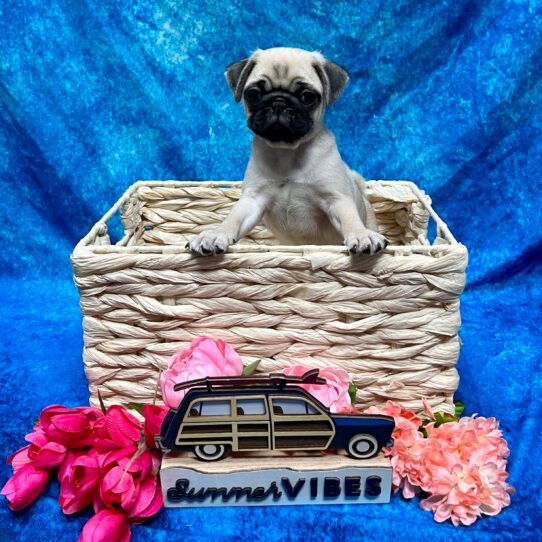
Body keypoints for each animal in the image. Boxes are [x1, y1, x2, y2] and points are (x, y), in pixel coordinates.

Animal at [189, 47, 388, 258]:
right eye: (253, 94)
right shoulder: (252, 201)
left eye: (307, 97)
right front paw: (215, 234)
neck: (287, 152)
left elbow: (350, 219)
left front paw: (361, 235)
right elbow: (233, 219)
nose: (279, 102)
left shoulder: (337, 199)